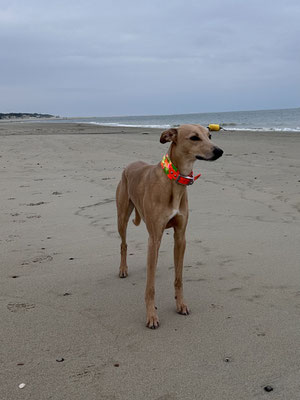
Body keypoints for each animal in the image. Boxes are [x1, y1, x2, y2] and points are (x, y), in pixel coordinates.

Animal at [115, 124, 223, 328]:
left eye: (210, 136)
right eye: (194, 137)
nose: (219, 151)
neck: (174, 181)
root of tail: (130, 165)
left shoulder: (180, 237)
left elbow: (178, 278)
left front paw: (181, 304)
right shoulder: (155, 237)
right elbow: (150, 287)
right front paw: (151, 316)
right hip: (122, 217)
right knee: (123, 243)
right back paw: (123, 269)